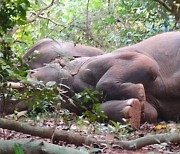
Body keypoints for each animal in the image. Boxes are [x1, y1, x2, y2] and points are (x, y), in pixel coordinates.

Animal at [27, 31, 180, 128]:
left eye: (38, 69)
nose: (29, 73)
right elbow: (151, 112)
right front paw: (132, 110)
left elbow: (146, 63)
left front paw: (139, 92)